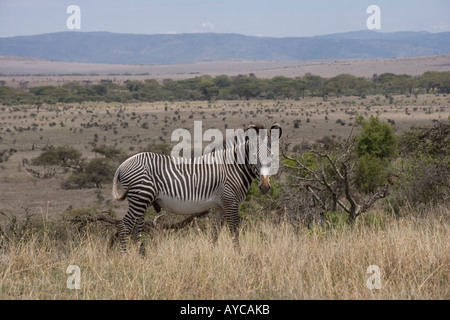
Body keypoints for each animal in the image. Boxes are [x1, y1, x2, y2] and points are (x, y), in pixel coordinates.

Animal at [112, 122, 282, 255]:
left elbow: (214, 233)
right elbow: (234, 231)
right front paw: (239, 256)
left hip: (141, 200)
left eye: (273, 157)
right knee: (125, 226)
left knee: (136, 228)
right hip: (140, 197)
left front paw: (211, 256)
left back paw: (142, 257)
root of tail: (122, 165)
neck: (233, 167)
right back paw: (125, 257)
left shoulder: (220, 206)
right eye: (254, 157)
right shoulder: (230, 201)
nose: (265, 187)